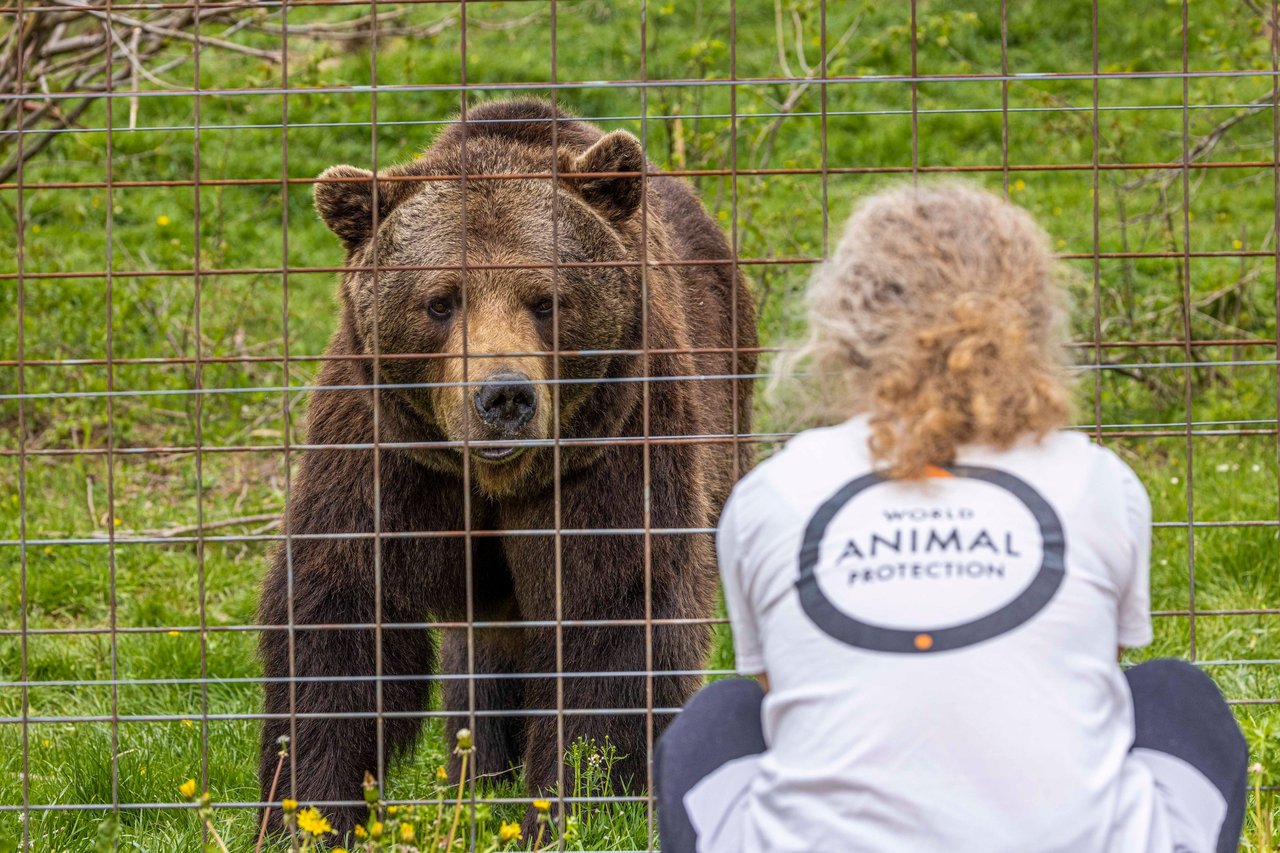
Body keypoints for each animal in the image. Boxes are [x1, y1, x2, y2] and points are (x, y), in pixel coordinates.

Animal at [258, 97, 752, 829]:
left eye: (546, 300)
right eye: (440, 301)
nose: (504, 397)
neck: (491, 476)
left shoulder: (606, 451)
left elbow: (611, 613)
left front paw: (576, 803)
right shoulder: (388, 457)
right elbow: (341, 614)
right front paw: (309, 810)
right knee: (480, 654)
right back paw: (483, 770)